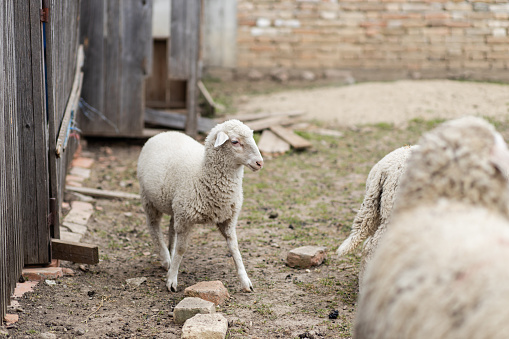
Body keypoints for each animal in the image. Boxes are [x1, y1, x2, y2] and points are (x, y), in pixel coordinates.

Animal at [137, 121, 264, 294]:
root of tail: (165, 132)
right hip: (149, 200)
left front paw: (245, 281)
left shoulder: (228, 219)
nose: (260, 162)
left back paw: (170, 255)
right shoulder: (185, 219)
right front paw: (172, 281)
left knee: (171, 228)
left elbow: (235, 248)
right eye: (235, 141)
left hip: (175, 205)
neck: (202, 174)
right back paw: (166, 259)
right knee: (154, 227)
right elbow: (181, 249)